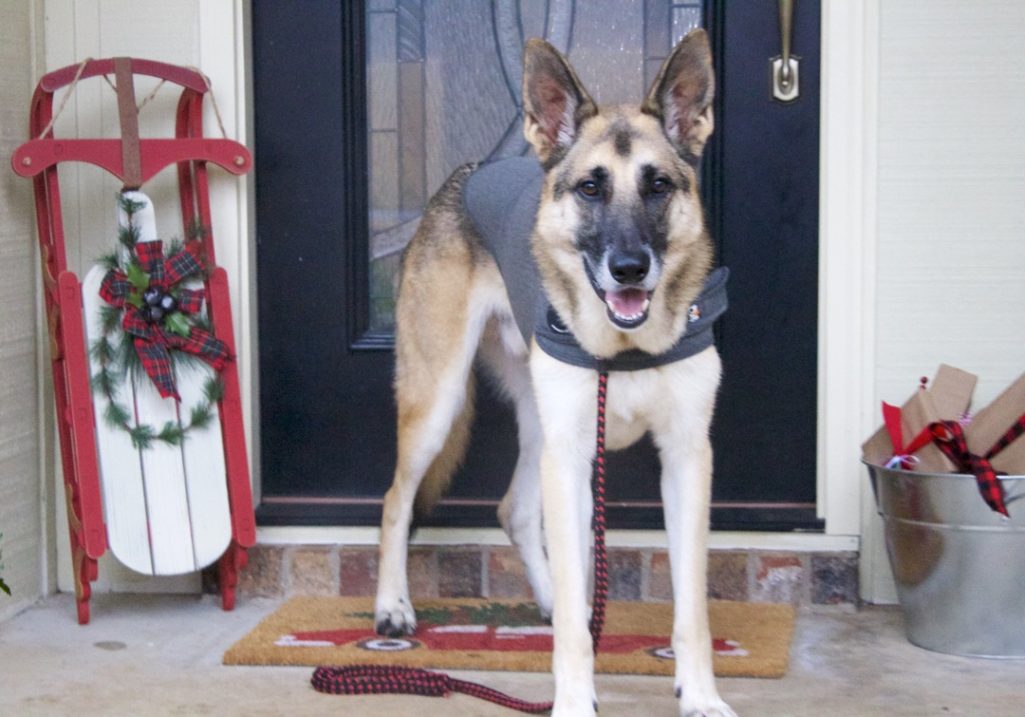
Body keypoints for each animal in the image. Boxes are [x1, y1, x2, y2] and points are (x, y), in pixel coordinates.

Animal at [377, 29, 738, 717]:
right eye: (591, 189)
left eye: (658, 185)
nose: (630, 268)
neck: (625, 345)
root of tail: (464, 175)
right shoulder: (571, 458)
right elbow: (578, 613)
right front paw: (574, 698)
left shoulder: (687, 461)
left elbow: (692, 609)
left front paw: (701, 694)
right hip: (440, 404)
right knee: (395, 500)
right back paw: (392, 607)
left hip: (540, 429)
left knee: (514, 512)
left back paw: (542, 600)